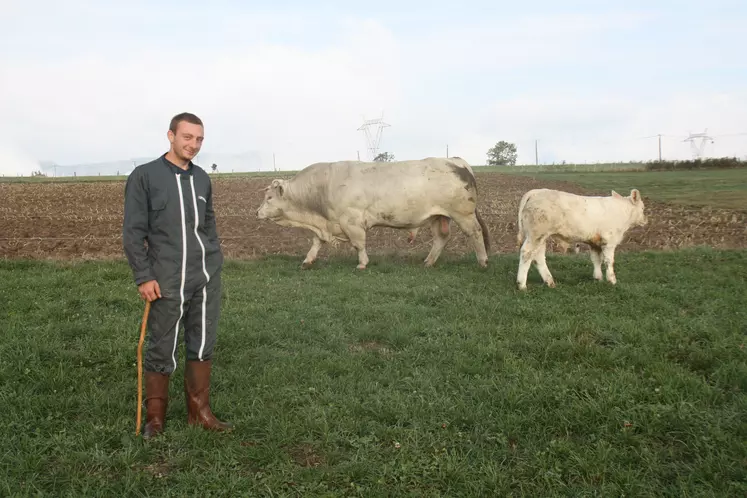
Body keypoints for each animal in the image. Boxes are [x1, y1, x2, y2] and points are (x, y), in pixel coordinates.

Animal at [258, 158, 490, 270]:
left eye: (269, 197)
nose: (257, 212)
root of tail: (455, 160)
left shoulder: (351, 221)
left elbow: (359, 244)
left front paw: (362, 263)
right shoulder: (327, 224)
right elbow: (316, 243)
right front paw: (307, 261)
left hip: (463, 214)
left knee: (475, 233)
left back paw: (483, 261)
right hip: (438, 216)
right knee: (441, 238)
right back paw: (428, 262)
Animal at [516, 187, 648, 290]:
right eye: (643, 208)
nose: (646, 220)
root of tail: (536, 191)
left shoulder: (595, 242)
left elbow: (596, 260)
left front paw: (598, 278)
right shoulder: (609, 242)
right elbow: (609, 261)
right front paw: (612, 280)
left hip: (541, 237)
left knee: (538, 256)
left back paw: (550, 281)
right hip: (536, 234)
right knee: (527, 253)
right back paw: (522, 285)